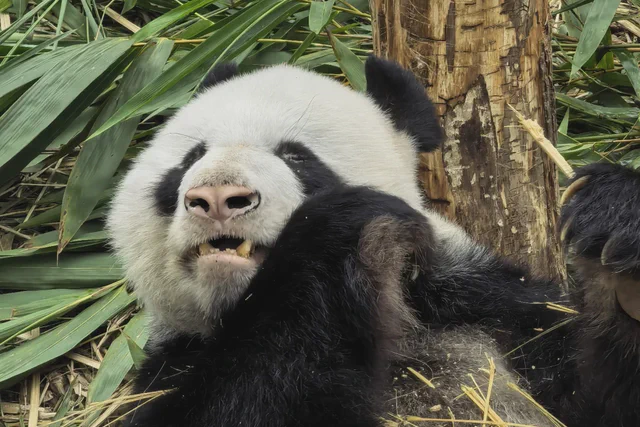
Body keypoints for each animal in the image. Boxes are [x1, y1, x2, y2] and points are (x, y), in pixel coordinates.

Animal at [107, 56, 640, 426]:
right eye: (191, 158)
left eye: (297, 157)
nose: (217, 197)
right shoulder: (168, 366)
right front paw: (335, 232)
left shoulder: (481, 309)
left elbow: (592, 393)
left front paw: (616, 227)